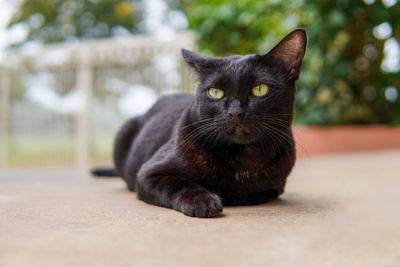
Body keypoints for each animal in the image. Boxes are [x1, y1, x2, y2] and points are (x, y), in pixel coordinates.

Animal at [93, 29, 306, 218]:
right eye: (215, 92)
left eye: (260, 89)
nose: (235, 112)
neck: (244, 159)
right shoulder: (148, 174)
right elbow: (179, 184)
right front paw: (203, 201)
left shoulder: (276, 185)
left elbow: (260, 191)